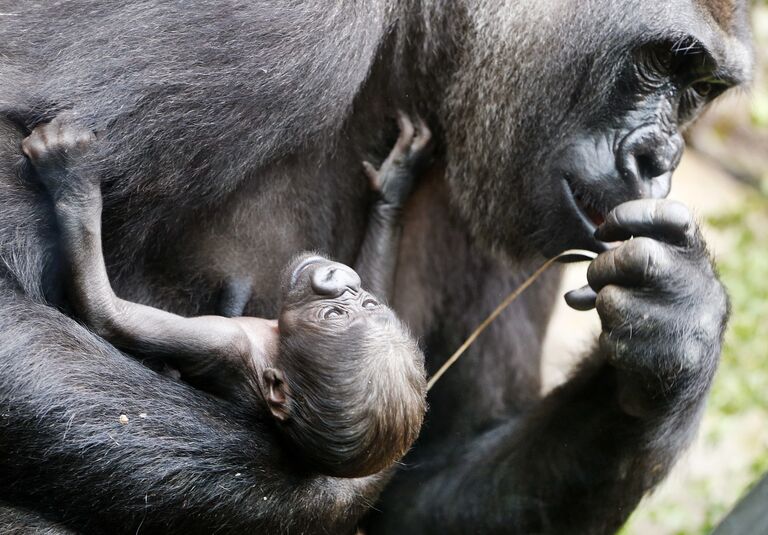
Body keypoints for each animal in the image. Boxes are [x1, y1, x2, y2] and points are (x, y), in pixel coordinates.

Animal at [22, 112, 432, 478]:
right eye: (361, 304)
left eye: (332, 316)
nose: (338, 279)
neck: (273, 341)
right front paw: (394, 185)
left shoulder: (225, 341)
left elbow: (108, 315)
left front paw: (74, 182)